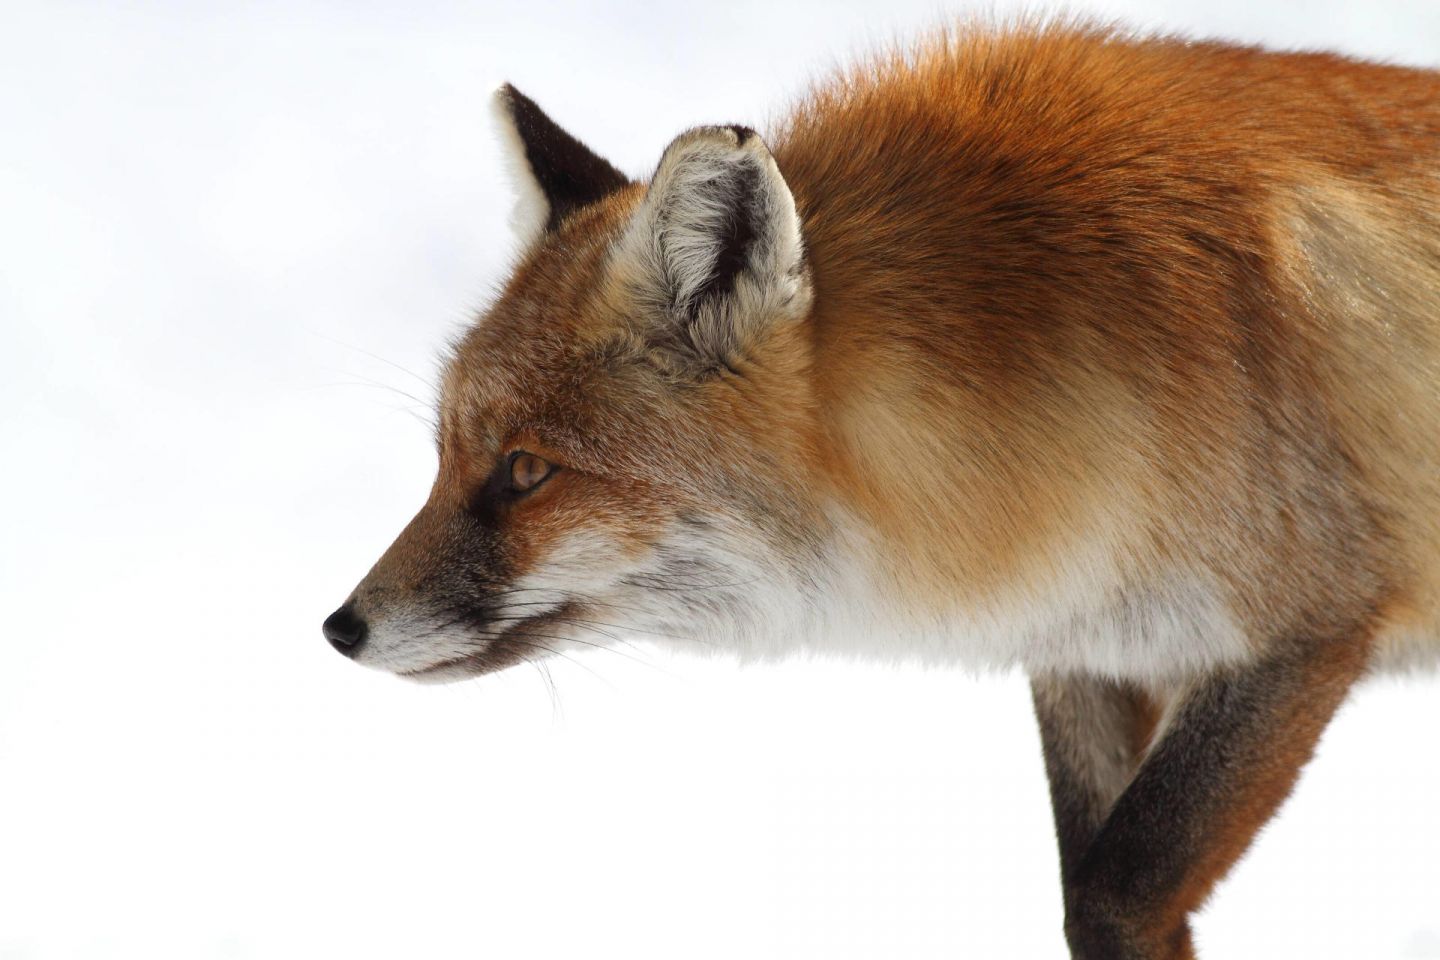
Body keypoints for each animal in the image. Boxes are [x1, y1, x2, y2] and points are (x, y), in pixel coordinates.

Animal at [324, 22, 1440, 960]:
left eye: (526, 471)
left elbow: (1111, 894)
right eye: (443, 457)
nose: (341, 629)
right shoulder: (1091, 652)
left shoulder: (1302, 634)